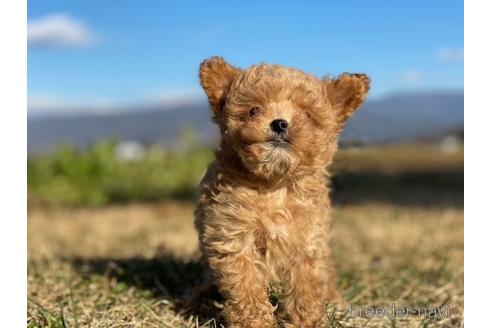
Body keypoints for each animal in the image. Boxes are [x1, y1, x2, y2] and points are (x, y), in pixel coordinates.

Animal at [193, 57, 368, 326]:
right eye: (254, 110)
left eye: (306, 115)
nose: (279, 123)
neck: (274, 185)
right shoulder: (233, 236)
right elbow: (246, 285)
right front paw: (254, 322)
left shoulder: (307, 241)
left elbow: (306, 287)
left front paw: (308, 321)